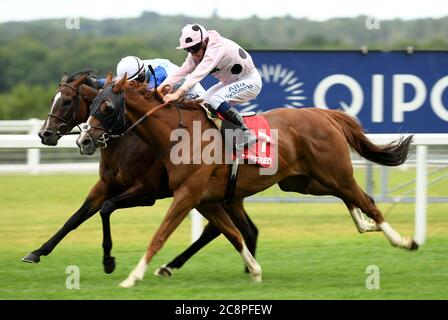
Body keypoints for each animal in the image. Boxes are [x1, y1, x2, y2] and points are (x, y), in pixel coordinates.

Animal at [22, 70, 260, 278]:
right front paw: (37, 252)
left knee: (219, 230)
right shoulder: (106, 185)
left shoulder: (146, 192)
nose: (45, 134)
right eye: (53, 99)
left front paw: (108, 261)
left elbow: (106, 208)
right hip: (229, 196)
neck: (125, 141)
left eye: (67, 101)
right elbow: (76, 218)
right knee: (241, 229)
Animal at [76, 76, 416, 288]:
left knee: (366, 200)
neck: (178, 134)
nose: (84, 140)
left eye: (107, 107)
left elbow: (159, 235)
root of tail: (325, 114)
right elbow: (233, 235)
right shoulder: (205, 199)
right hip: (303, 181)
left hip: (333, 172)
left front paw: (132, 276)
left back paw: (403, 240)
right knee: (350, 199)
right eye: (90, 106)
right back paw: (365, 225)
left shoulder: (185, 194)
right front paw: (254, 270)